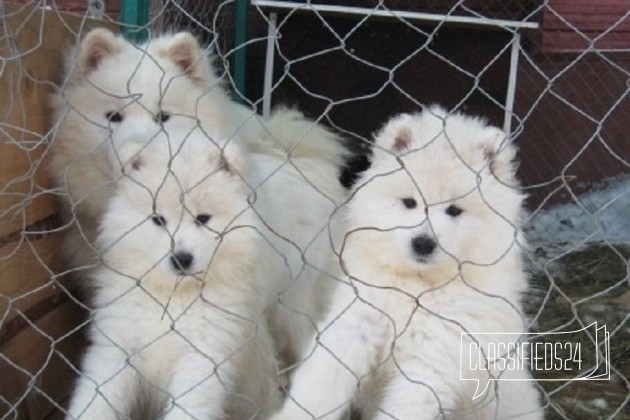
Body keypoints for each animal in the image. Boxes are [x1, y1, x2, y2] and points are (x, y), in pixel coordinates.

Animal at [65, 136, 280, 418]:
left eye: (203, 218)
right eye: (158, 220)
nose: (181, 258)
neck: (174, 296)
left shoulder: (202, 359)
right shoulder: (117, 348)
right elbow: (95, 398)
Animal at [272, 106, 544, 420]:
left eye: (454, 210)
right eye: (410, 202)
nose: (423, 243)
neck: (415, 286)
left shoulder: (432, 360)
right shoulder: (354, 326)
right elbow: (319, 386)